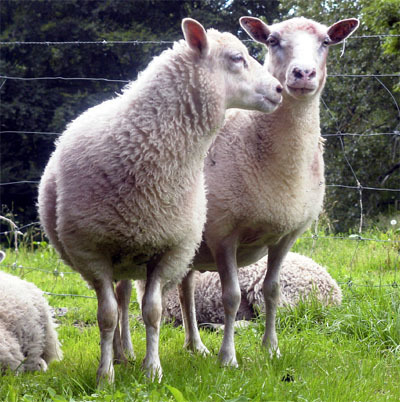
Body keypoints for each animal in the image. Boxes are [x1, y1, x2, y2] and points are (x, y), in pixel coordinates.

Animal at [36, 17, 282, 384]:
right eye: (237, 58)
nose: (280, 89)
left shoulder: (169, 249)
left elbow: (152, 311)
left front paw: (152, 369)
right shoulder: (92, 251)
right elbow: (106, 315)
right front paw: (104, 375)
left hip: (132, 253)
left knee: (125, 297)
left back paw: (126, 353)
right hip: (114, 252)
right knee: (118, 302)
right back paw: (119, 355)